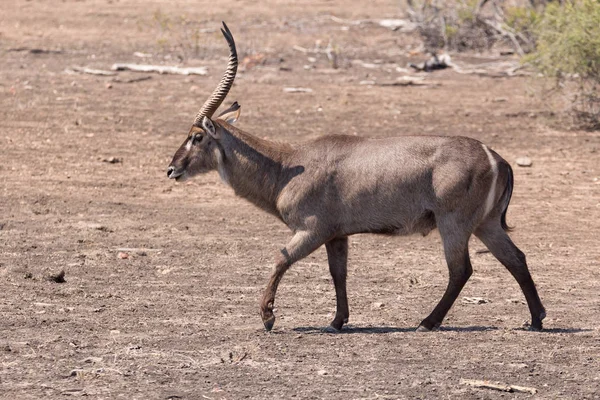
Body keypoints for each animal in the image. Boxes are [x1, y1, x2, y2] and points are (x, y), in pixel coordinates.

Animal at [166, 23, 548, 332]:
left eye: (196, 136)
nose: (171, 169)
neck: (286, 165)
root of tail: (496, 157)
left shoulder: (312, 230)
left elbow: (280, 258)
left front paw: (268, 318)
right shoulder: (337, 235)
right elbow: (339, 273)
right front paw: (337, 321)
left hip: (453, 223)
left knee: (461, 269)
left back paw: (428, 322)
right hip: (486, 224)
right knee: (515, 258)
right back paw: (535, 320)